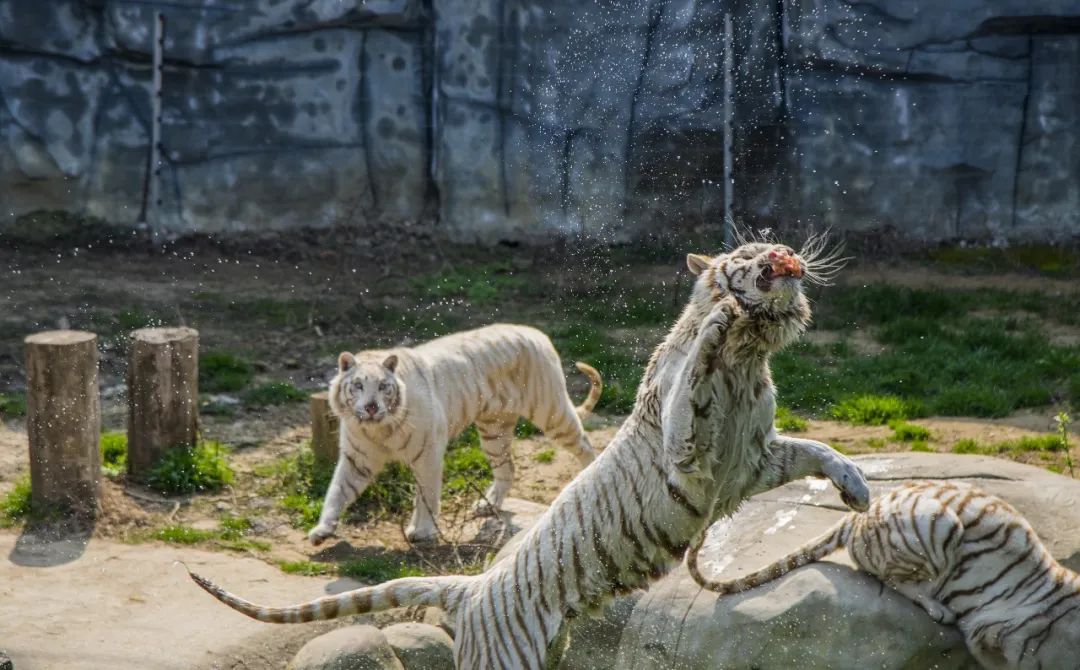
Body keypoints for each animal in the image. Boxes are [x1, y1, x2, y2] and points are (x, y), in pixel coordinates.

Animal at [308, 324, 604, 544]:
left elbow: (426, 494)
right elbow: (337, 491)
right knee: (507, 467)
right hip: (494, 431)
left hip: (551, 412)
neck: (378, 428)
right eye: (358, 385)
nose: (371, 407)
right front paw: (322, 530)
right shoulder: (356, 458)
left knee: (585, 444)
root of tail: (538, 333)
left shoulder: (427, 453)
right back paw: (487, 504)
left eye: (382, 386)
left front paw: (422, 531)